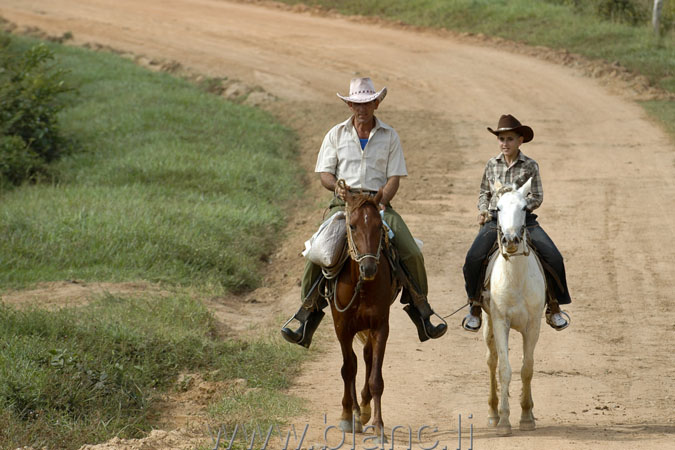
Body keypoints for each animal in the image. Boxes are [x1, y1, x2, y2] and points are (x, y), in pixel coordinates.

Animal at [330, 187, 398, 442]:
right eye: (352, 226)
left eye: (379, 226)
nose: (368, 268)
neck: (361, 286)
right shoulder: (342, 327)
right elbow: (348, 368)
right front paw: (346, 416)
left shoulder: (380, 326)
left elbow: (376, 378)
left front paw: (378, 426)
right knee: (353, 363)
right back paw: (356, 413)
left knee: (367, 357)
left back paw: (364, 410)